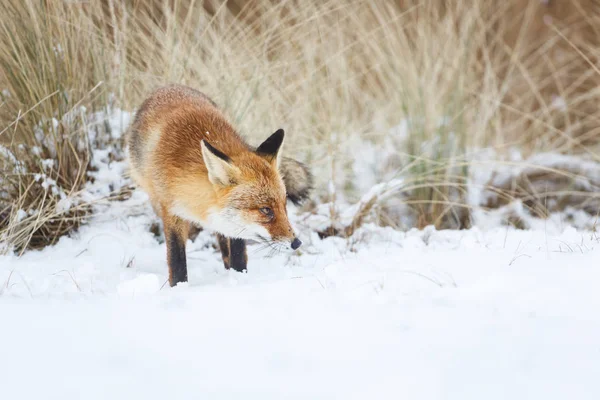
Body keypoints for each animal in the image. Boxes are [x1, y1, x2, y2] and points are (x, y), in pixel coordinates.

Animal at [127, 84, 314, 286]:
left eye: (284, 206)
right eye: (265, 210)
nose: (296, 243)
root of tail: (169, 87)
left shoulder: (235, 226)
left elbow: (238, 252)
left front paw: (240, 276)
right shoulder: (171, 211)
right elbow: (177, 260)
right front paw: (178, 286)